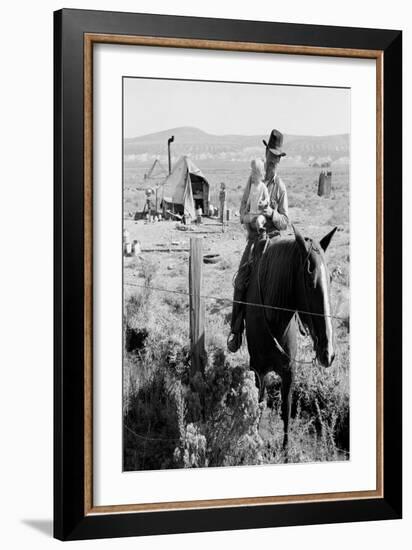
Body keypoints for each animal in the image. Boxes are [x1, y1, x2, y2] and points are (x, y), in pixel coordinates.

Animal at [246, 224, 336, 452]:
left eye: (330, 279)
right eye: (310, 281)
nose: (328, 354)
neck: (275, 318)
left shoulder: (289, 372)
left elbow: (286, 410)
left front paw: (285, 451)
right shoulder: (259, 370)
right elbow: (259, 403)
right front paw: (255, 440)